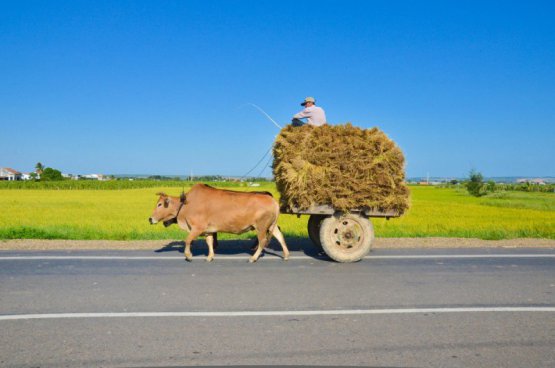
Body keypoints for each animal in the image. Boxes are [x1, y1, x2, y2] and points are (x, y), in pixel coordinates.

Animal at [150, 183, 288, 264]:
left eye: (160, 204)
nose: (150, 219)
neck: (186, 204)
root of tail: (272, 199)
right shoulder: (208, 230)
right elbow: (209, 242)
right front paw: (210, 257)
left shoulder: (197, 228)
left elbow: (188, 240)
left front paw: (188, 256)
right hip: (271, 225)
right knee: (280, 236)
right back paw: (286, 255)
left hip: (261, 227)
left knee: (262, 241)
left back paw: (253, 258)